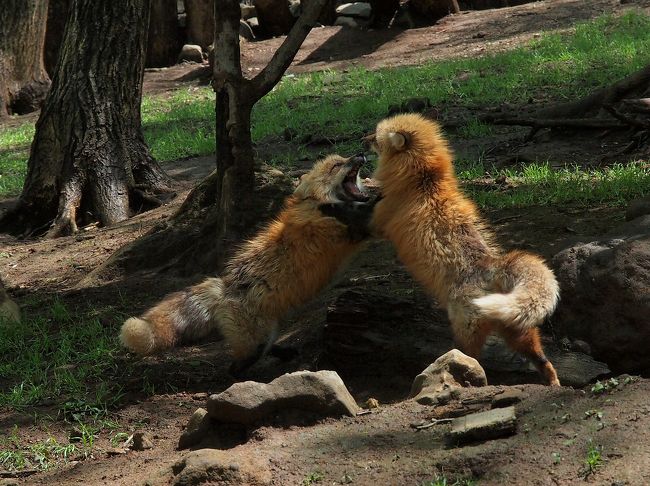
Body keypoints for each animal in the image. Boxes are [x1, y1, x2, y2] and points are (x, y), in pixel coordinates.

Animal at [119, 154, 374, 374]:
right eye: (336, 166)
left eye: (342, 158)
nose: (360, 154)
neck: (319, 207)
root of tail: (224, 287)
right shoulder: (354, 227)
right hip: (256, 343)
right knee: (235, 368)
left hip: (268, 332)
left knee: (265, 349)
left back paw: (284, 353)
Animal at [326, 113, 560, 384]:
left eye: (376, 135)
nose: (362, 141)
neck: (424, 182)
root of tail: (492, 266)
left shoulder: (375, 221)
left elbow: (348, 210)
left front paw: (324, 203)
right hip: (518, 332)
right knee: (543, 361)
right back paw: (554, 384)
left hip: (465, 332)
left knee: (471, 358)